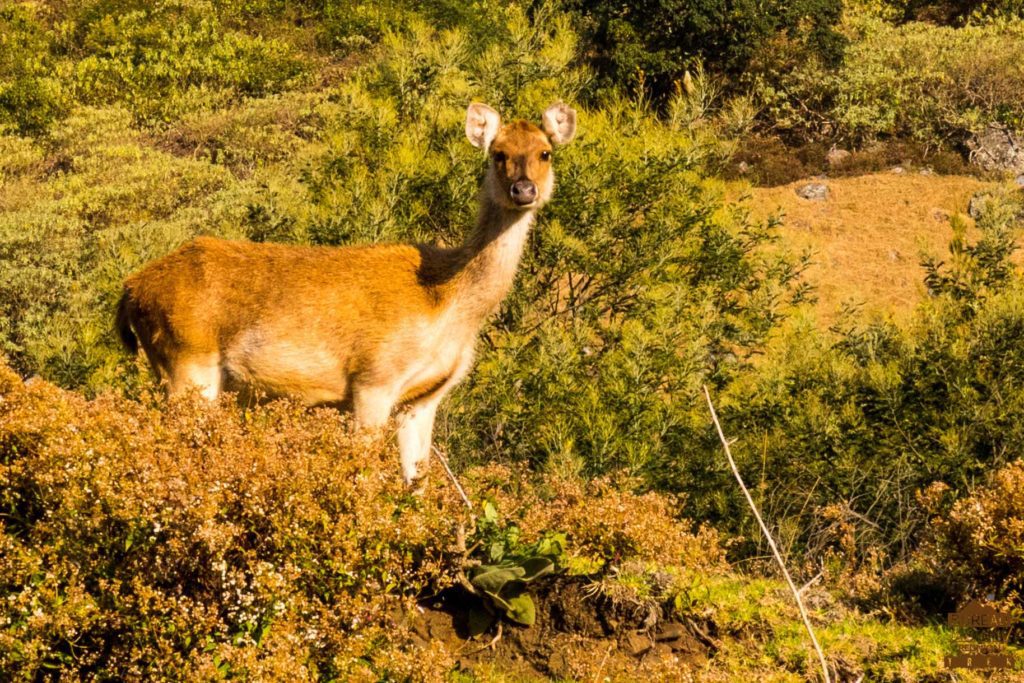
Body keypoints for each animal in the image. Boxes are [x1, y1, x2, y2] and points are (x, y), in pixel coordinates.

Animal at [117, 101, 581, 485]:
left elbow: (417, 485)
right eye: (497, 153)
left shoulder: (424, 398)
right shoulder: (374, 378)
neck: (446, 303)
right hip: (187, 359)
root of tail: (131, 291)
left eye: (545, 152)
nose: (524, 190)